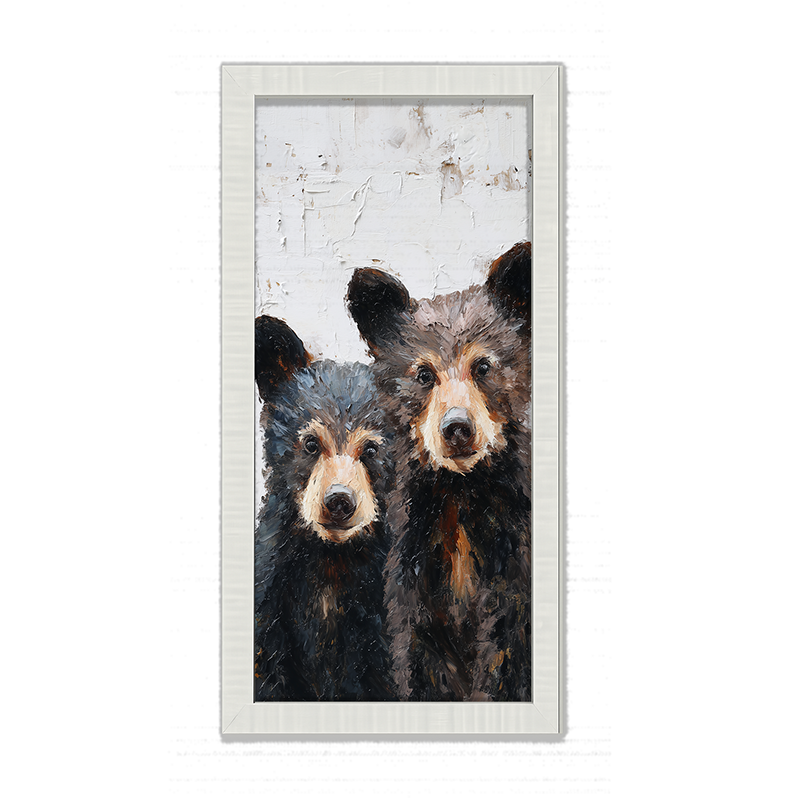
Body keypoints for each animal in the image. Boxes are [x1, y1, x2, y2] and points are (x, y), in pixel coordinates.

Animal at [346, 242, 532, 701]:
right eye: (424, 373)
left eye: (482, 366)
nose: (457, 428)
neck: (460, 492)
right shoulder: (413, 567)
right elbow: (419, 659)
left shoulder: (513, 555)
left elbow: (505, 651)